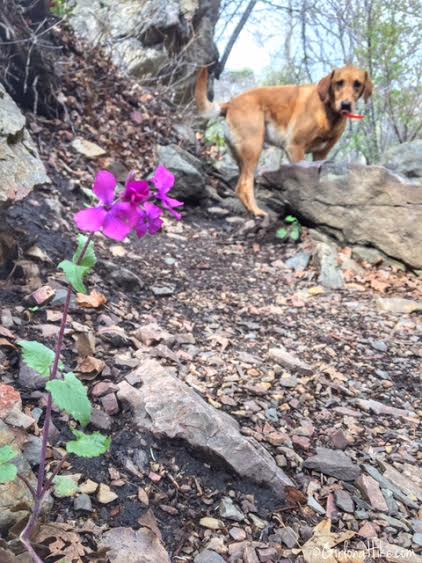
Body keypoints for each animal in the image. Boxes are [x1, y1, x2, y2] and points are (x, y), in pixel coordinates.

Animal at [195, 65, 372, 217]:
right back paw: (256, 211)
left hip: (242, 156)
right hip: (254, 149)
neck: (328, 112)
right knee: (244, 185)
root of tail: (231, 103)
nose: (346, 105)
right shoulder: (295, 148)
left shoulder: (320, 155)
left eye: (357, 84)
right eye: (339, 83)